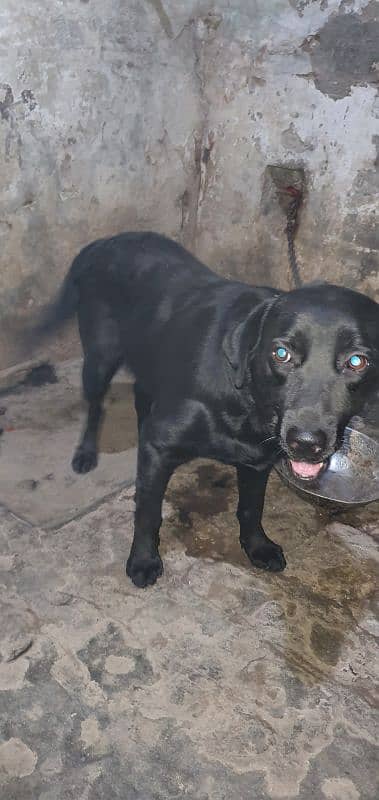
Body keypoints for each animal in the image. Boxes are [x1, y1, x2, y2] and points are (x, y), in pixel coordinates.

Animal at [36, 231, 379, 588]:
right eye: (281, 353)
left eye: (357, 361)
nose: (306, 443)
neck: (247, 403)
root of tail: (106, 240)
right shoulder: (160, 445)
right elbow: (148, 512)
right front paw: (143, 559)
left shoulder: (257, 463)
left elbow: (251, 509)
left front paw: (257, 546)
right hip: (100, 358)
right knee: (95, 408)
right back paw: (86, 454)